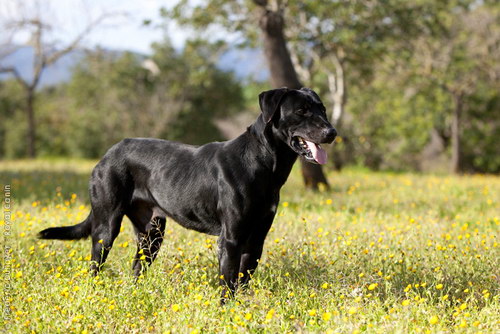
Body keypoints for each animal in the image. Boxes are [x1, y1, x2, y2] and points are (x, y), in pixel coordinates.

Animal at [39, 87, 336, 302]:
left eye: (322, 109)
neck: (266, 162)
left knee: (136, 268)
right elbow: (228, 284)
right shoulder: (231, 238)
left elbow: (242, 281)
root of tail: (107, 153)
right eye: (301, 111)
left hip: (151, 234)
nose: (332, 132)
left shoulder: (256, 239)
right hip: (106, 226)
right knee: (95, 266)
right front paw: (226, 313)